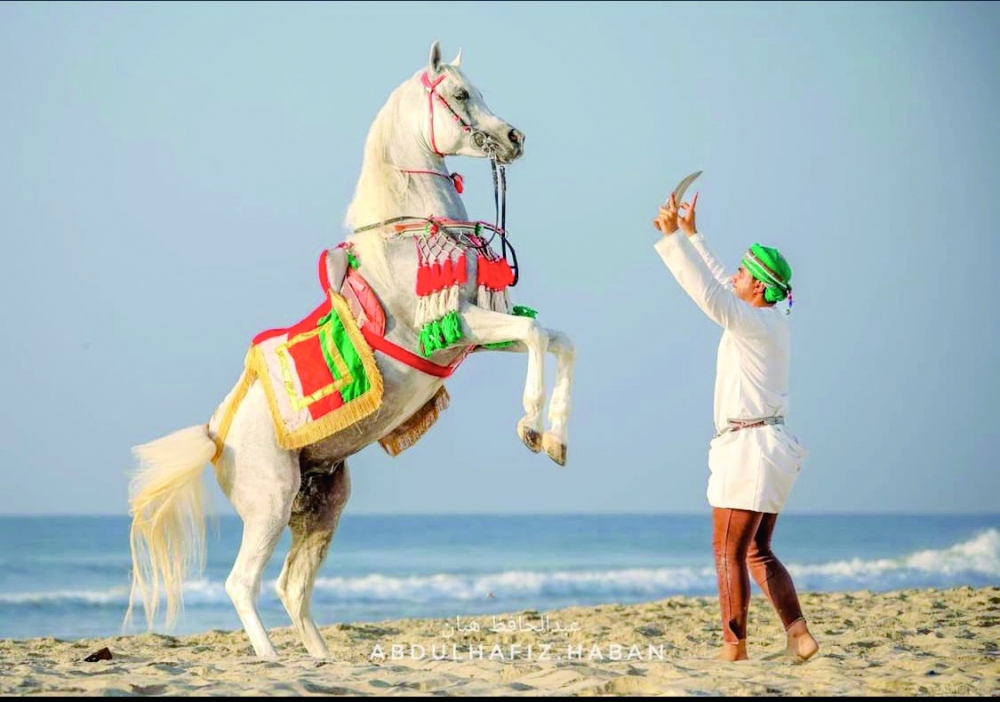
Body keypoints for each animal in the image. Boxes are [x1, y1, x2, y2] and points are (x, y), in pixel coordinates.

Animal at [123, 41, 577, 660]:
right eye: (461, 95)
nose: (514, 139)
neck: (409, 235)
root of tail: (216, 435)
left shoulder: (475, 333)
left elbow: (556, 340)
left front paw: (555, 439)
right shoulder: (458, 326)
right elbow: (537, 338)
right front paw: (531, 428)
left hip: (322, 503)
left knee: (291, 588)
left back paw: (320, 659)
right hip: (270, 503)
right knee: (243, 583)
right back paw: (271, 660)